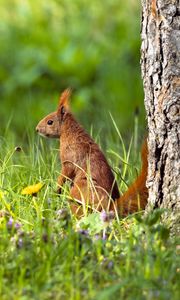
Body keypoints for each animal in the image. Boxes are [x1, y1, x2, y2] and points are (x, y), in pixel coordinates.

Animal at [35, 88, 148, 217]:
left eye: (50, 122)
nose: (37, 129)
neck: (70, 132)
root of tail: (110, 208)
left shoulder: (69, 159)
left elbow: (65, 174)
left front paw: (57, 189)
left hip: (80, 191)